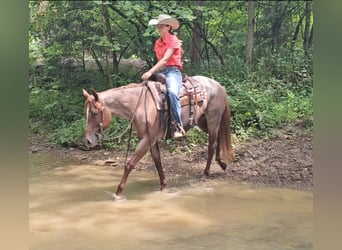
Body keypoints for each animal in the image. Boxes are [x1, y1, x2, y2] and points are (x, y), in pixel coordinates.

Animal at [81, 75, 234, 200]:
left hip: (213, 119)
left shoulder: (146, 140)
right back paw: (222, 163)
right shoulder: (151, 139)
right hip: (202, 122)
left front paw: (118, 194)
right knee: (218, 138)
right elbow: (157, 161)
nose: (88, 140)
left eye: (94, 113)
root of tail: (218, 85)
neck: (139, 105)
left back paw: (205, 174)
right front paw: (164, 186)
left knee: (211, 145)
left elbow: (130, 164)